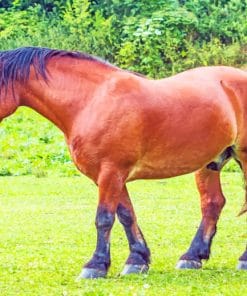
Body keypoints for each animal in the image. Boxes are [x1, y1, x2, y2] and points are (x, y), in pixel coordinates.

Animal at [0, 46, 247, 278]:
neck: (91, 101)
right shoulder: (109, 177)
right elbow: (127, 215)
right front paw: (137, 260)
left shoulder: (111, 173)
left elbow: (104, 218)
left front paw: (96, 265)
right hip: (209, 163)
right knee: (212, 203)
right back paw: (192, 257)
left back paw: (242, 259)